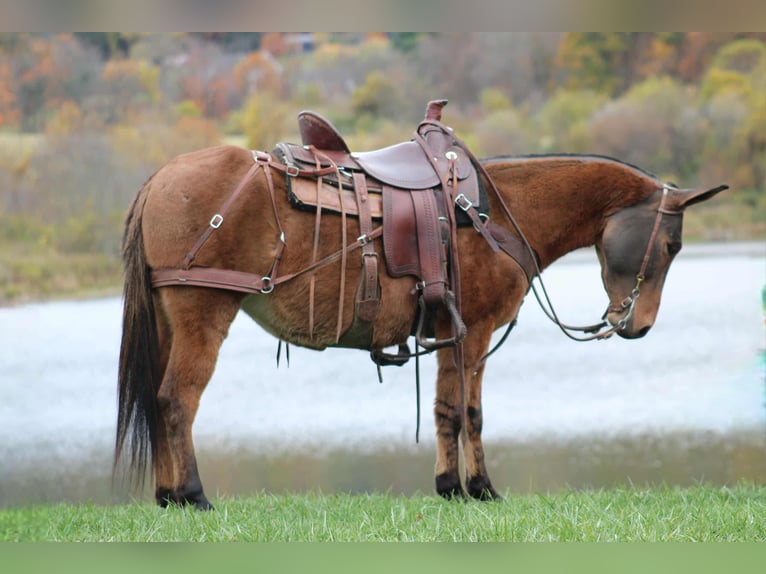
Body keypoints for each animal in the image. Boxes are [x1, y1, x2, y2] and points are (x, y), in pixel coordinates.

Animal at [115, 143, 727, 509]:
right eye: (671, 245)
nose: (638, 326)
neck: (498, 214)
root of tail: (160, 177)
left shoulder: (448, 334)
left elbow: (444, 410)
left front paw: (451, 487)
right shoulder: (475, 331)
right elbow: (467, 412)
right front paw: (479, 487)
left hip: (170, 322)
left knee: (157, 400)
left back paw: (168, 496)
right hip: (203, 312)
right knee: (176, 400)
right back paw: (193, 494)